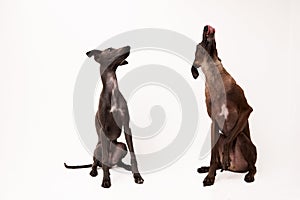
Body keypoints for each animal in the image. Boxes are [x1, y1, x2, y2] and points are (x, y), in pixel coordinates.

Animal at [192, 25, 258, 187]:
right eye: (199, 45)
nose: (206, 27)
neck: (215, 78)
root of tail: (236, 168)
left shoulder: (247, 110)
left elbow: (229, 141)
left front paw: (226, 155)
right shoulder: (214, 123)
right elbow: (213, 157)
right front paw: (210, 176)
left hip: (241, 138)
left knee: (253, 166)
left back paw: (248, 174)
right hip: (219, 137)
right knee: (217, 161)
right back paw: (208, 168)